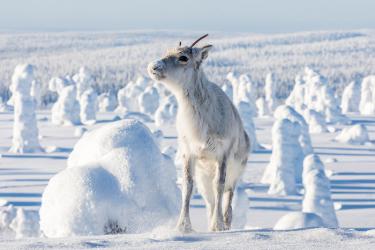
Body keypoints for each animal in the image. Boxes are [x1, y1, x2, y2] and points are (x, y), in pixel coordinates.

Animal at [148, 34, 251, 231]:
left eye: (183, 57)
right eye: (166, 52)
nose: (153, 67)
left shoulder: (222, 155)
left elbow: (220, 185)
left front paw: (218, 225)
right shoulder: (189, 153)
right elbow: (187, 186)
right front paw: (183, 226)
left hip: (235, 173)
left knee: (228, 195)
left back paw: (226, 222)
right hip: (204, 178)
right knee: (210, 201)